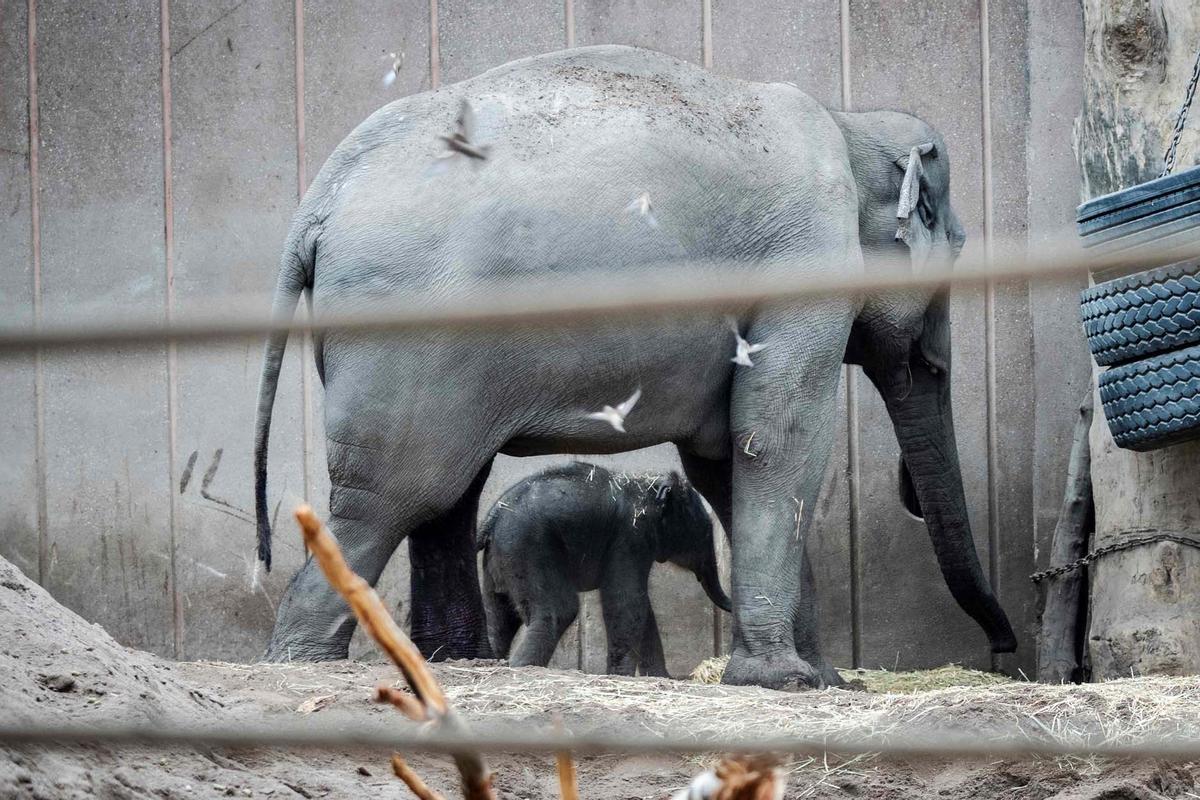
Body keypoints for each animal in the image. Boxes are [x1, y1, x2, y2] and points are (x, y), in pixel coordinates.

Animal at [477, 462, 729, 676]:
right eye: (703, 533)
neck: (646, 484)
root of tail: (491, 518)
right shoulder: (632, 536)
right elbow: (627, 602)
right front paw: (620, 676)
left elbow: (642, 608)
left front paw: (659, 677)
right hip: (529, 548)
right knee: (559, 609)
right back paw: (522, 667)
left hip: (501, 557)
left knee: (499, 613)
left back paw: (491, 661)